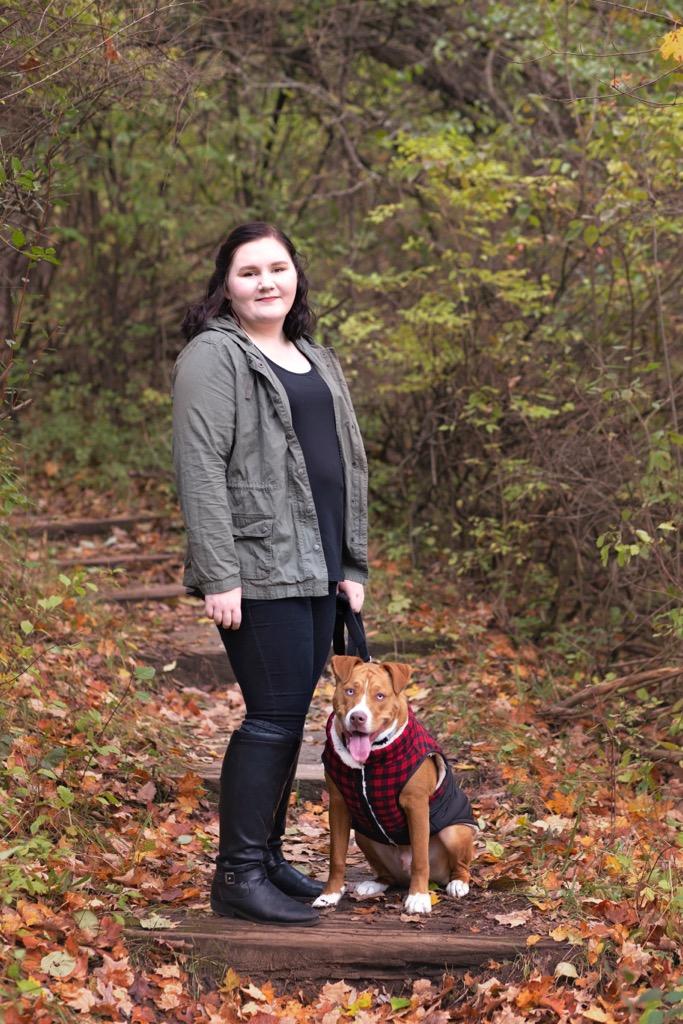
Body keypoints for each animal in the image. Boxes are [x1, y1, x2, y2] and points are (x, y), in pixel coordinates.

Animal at [313, 659, 475, 917]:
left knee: (459, 866)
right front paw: (330, 895)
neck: (368, 763)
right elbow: (336, 856)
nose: (357, 717)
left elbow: (420, 858)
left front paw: (419, 898)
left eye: (380, 696)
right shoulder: (338, 805)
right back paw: (374, 884)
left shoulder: (416, 805)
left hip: (455, 832)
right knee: (387, 875)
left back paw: (458, 883)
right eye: (350, 691)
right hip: (364, 834)